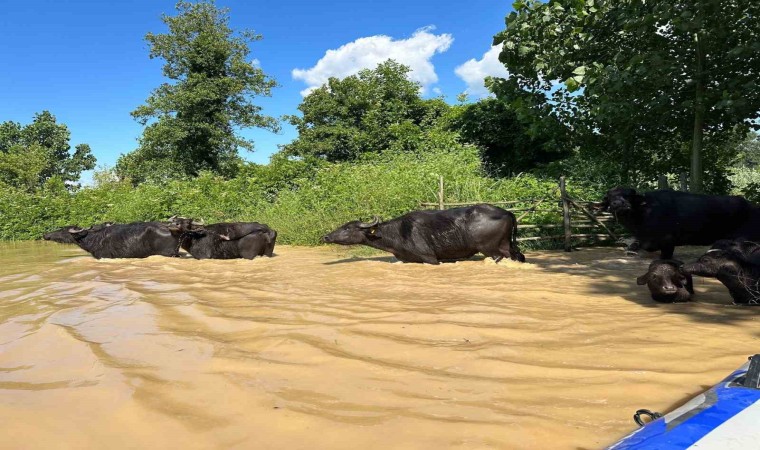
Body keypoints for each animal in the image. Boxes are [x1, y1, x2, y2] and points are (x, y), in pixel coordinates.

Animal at [320, 204, 524, 264]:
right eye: (343, 226)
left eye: (348, 228)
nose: (326, 237)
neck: (398, 232)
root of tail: (506, 212)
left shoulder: (430, 259)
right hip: (509, 245)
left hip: (492, 250)